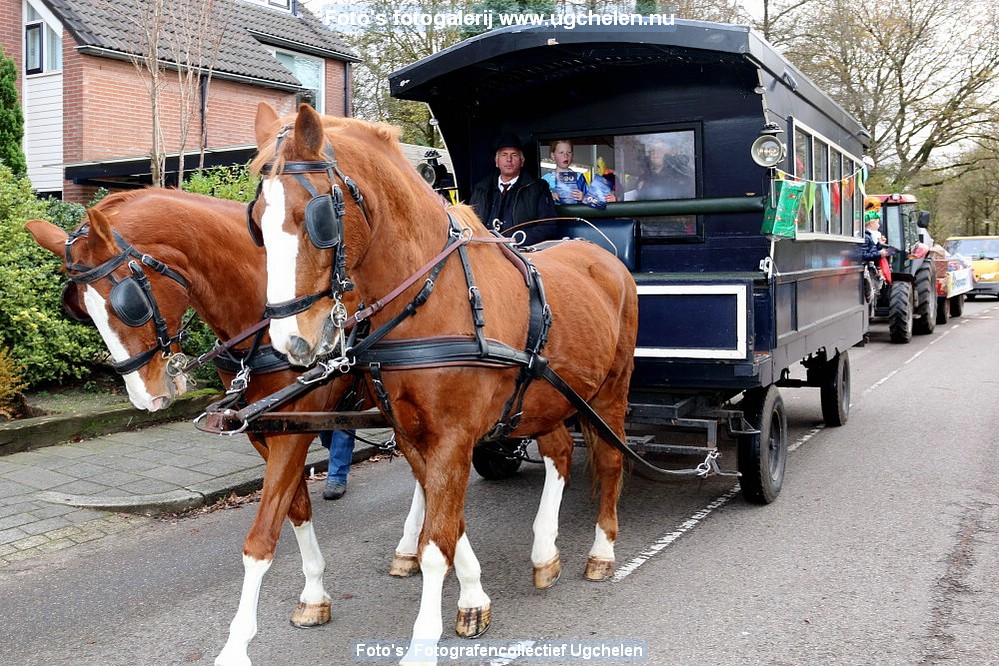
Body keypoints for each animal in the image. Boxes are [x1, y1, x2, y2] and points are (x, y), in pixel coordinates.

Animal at [26, 189, 364, 664]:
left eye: (128, 304)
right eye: (81, 310)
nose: (145, 396)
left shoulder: (297, 425)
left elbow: (261, 538)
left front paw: (236, 645)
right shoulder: (264, 429)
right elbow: (295, 508)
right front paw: (314, 594)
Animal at [250, 101, 640, 660]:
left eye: (316, 217)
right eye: (257, 221)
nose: (292, 342)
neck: (434, 297)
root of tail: (603, 255)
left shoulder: (454, 436)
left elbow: (438, 543)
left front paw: (424, 641)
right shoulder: (414, 434)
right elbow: (448, 523)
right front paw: (473, 598)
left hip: (611, 389)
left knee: (609, 459)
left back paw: (602, 551)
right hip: (545, 395)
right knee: (561, 452)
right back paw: (545, 552)